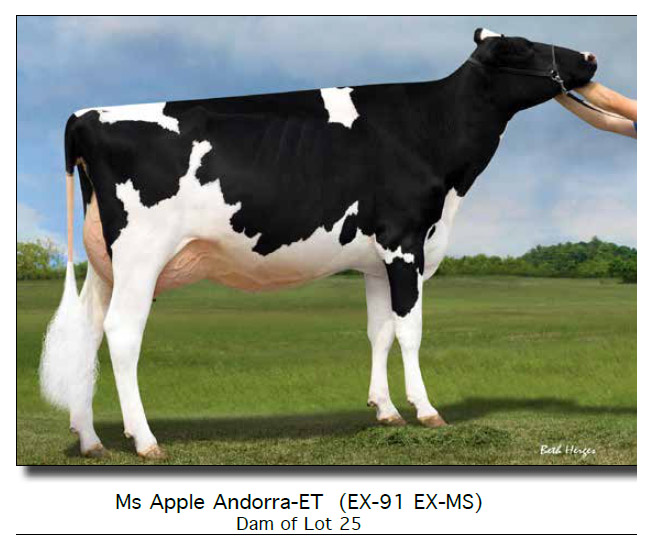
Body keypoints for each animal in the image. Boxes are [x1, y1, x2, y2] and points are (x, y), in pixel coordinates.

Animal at [40, 29, 597, 459]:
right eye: (522, 47)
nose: (589, 57)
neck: (429, 131)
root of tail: (85, 115)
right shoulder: (405, 244)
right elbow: (410, 331)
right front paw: (426, 411)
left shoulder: (375, 260)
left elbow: (380, 332)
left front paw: (386, 410)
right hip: (141, 254)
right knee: (122, 333)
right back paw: (144, 439)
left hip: (105, 263)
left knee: (88, 331)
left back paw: (90, 440)